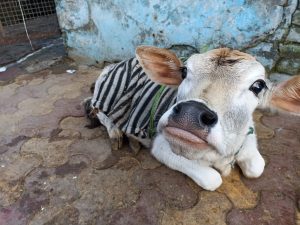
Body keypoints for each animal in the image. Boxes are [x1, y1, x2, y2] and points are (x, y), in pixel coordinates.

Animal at [85, 46, 300, 191]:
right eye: (184, 71)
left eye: (258, 86)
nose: (190, 113)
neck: (224, 154)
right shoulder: (162, 145)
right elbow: (213, 179)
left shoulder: (249, 135)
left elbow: (257, 167)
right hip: (104, 95)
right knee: (96, 108)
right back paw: (117, 133)